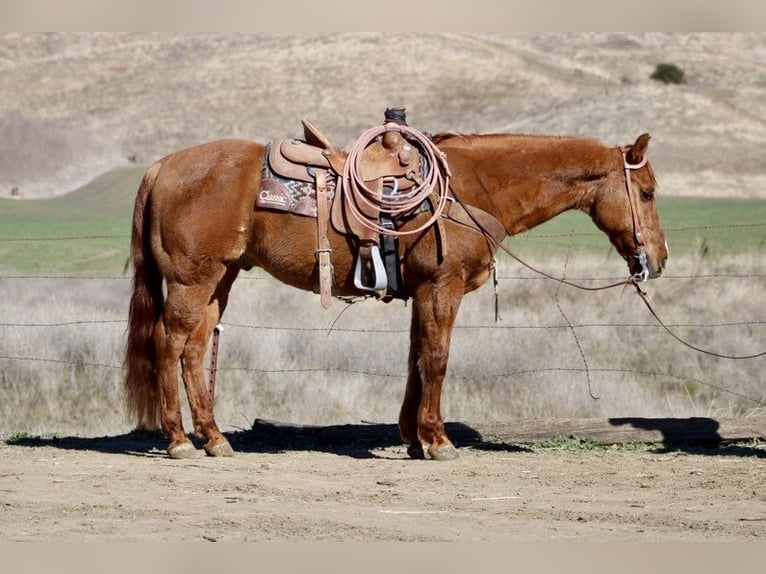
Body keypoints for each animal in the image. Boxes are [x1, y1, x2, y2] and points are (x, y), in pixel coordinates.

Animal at [123, 128, 668, 462]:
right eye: (646, 193)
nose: (658, 260)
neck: (472, 186)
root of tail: (161, 167)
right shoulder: (443, 287)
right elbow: (438, 358)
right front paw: (439, 440)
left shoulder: (421, 292)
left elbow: (416, 358)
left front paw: (412, 437)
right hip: (193, 281)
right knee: (168, 345)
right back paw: (178, 441)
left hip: (220, 279)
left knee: (194, 351)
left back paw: (214, 439)